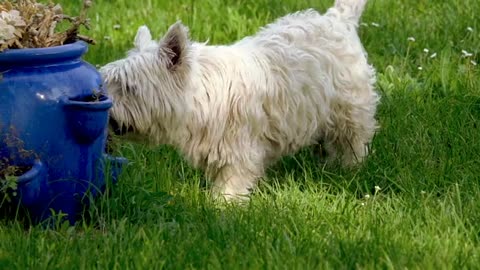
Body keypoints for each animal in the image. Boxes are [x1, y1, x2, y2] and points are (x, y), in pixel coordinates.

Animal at [100, 0, 378, 199]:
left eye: (128, 87)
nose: (107, 115)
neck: (199, 94)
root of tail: (337, 19)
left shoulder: (239, 150)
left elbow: (230, 185)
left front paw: (221, 208)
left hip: (350, 109)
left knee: (354, 140)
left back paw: (350, 168)